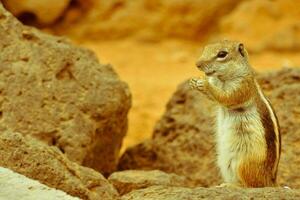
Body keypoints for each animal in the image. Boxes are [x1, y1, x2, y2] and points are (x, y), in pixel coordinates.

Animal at [190, 40, 282, 188]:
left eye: (222, 54)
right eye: (205, 48)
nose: (197, 64)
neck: (222, 79)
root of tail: (270, 180)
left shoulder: (243, 87)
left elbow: (227, 97)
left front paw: (205, 84)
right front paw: (195, 82)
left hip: (243, 163)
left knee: (250, 185)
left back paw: (231, 186)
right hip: (223, 162)